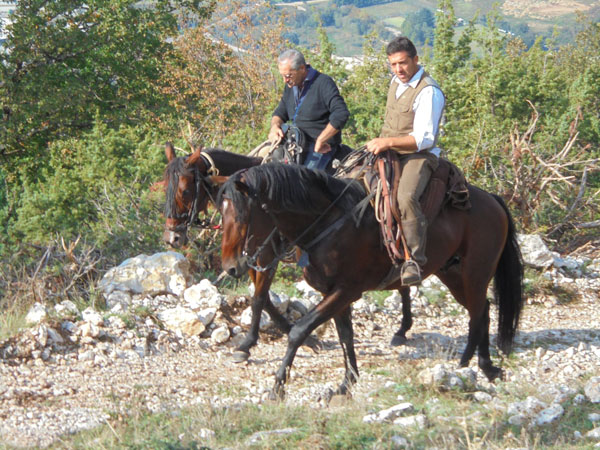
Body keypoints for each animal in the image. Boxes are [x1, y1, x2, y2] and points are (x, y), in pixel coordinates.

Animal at [218, 162, 524, 398]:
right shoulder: (334, 293)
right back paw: (470, 363)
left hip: (476, 273)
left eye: (243, 215)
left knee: (480, 311)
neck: (328, 223)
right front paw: (348, 381)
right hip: (452, 274)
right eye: (221, 213)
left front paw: (278, 386)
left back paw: (482, 365)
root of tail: (491, 200)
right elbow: (345, 335)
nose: (231, 267)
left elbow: (299, 331)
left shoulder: (346, 290)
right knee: (481, 310)